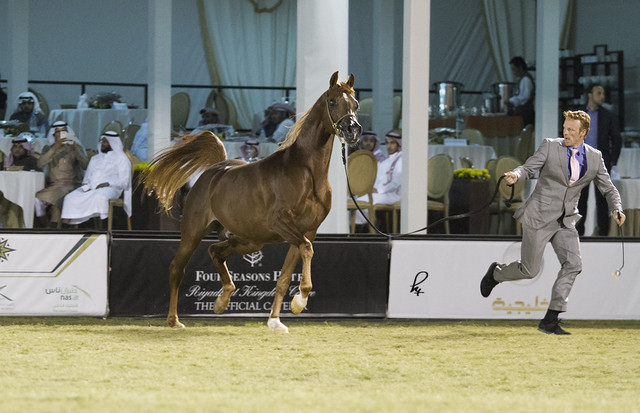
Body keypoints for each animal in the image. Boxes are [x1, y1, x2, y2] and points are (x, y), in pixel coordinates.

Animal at [139, 71, 362, 332]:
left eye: (356, 104)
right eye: (333, 101)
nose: (353, 130)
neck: (306, 173)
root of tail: (215, 169)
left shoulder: (306, 231)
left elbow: (285, 276)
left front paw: (276, 321)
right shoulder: (283, 225)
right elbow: (307, 249)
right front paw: (300, 300)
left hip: (250, 241)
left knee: (215, 251)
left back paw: (222, 300)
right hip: (194, 232)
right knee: (177, 268)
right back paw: (174, 320)